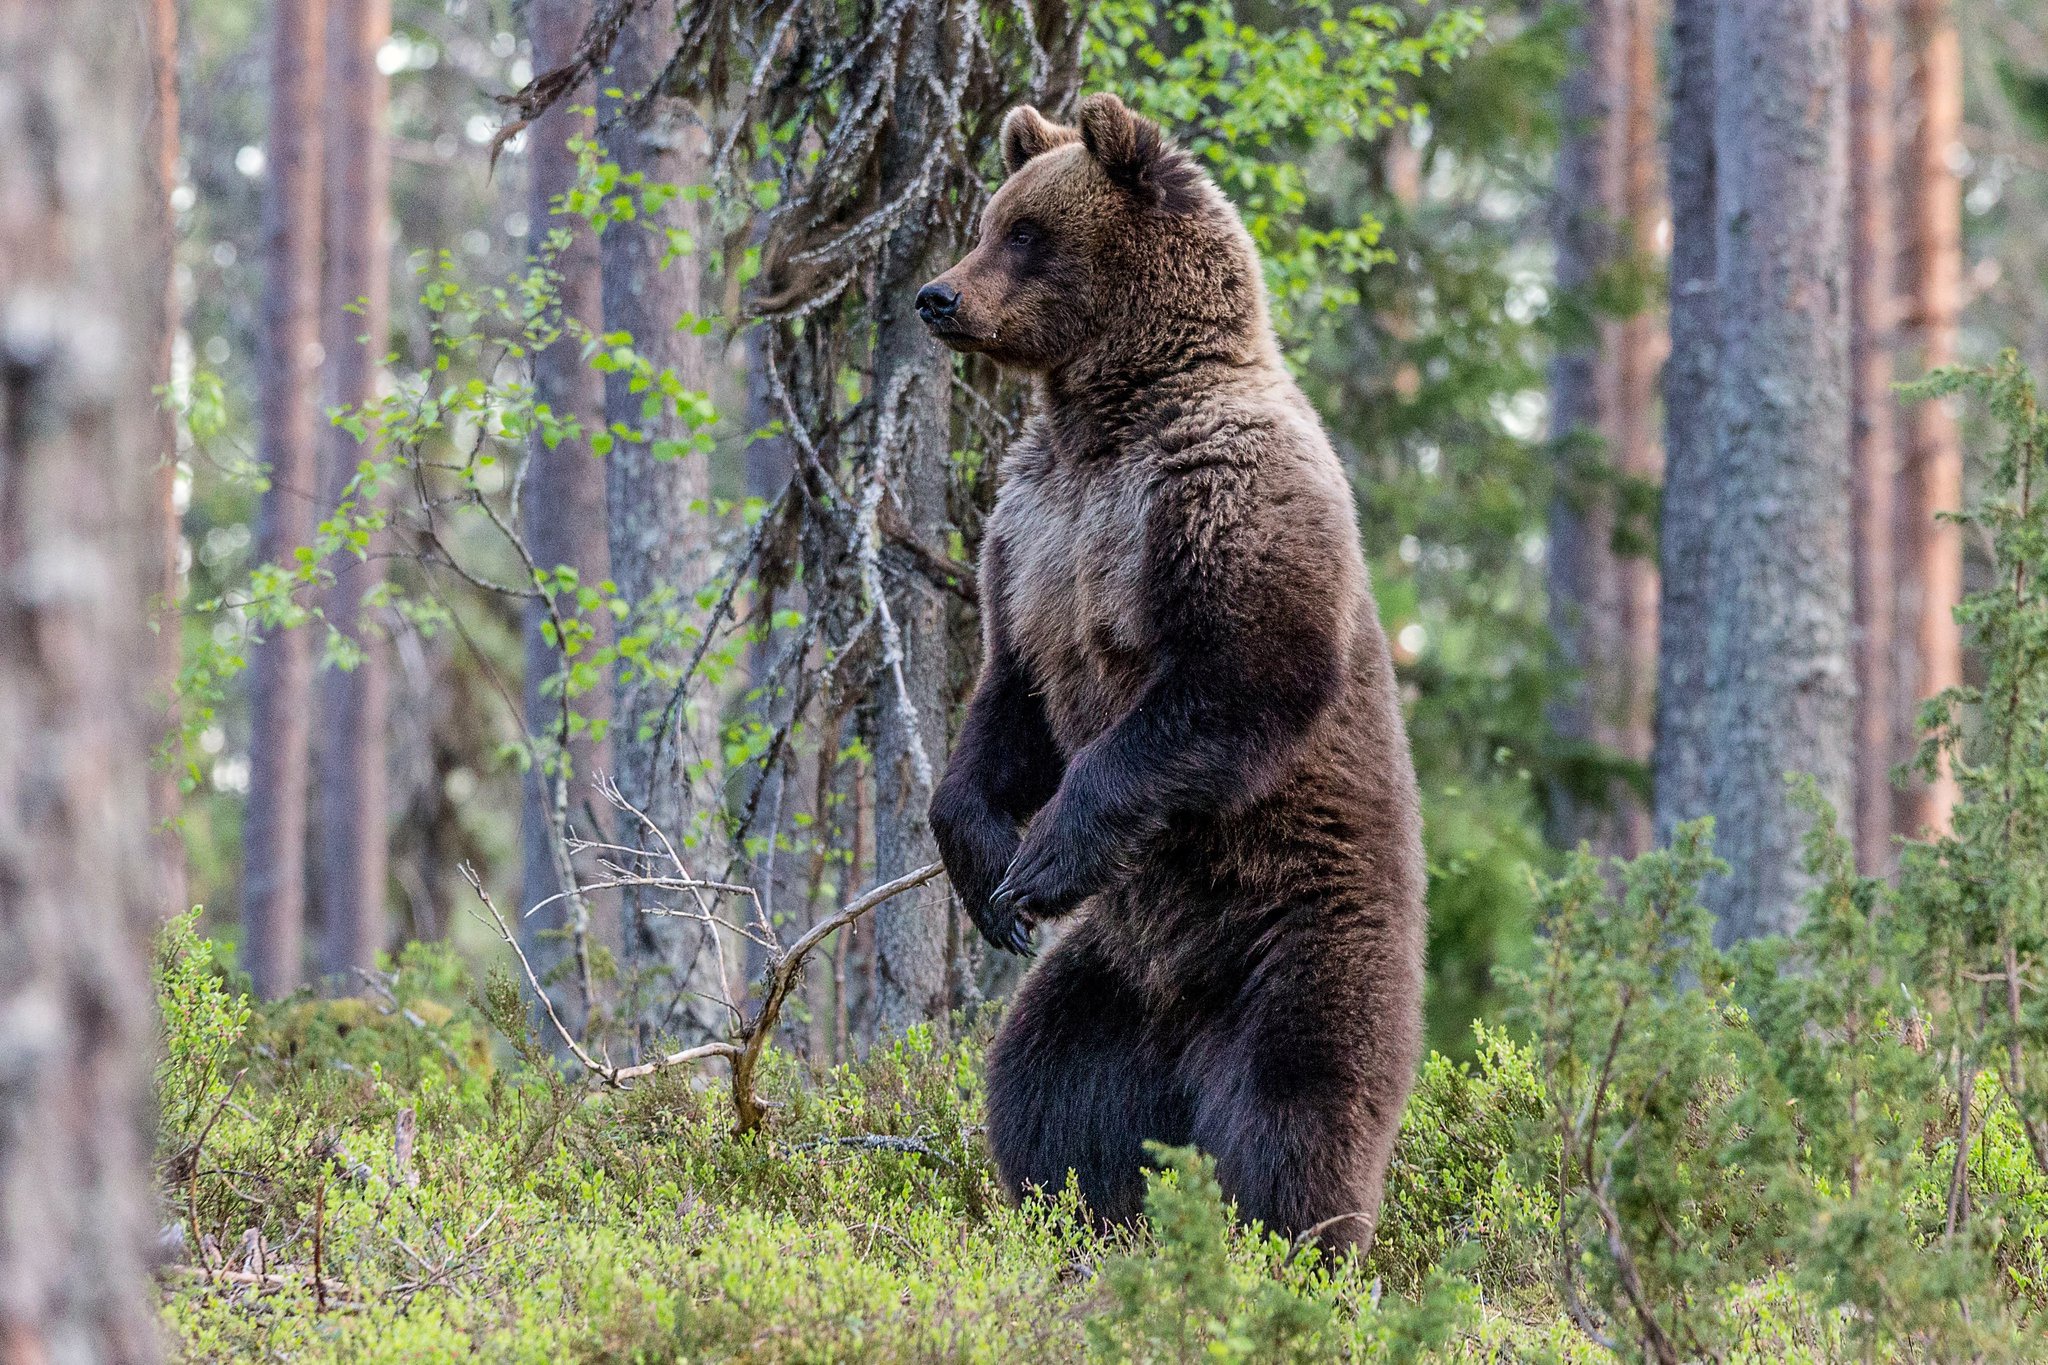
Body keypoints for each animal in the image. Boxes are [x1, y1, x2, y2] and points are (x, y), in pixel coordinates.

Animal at [917, 90, 1425, 1252]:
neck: (1101, 421)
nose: (937, 295)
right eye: (991, 218)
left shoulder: (1218, 490)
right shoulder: (1029, 534)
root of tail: (1185, 1030)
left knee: (1298, 1111)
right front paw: (987, 869)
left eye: (1027, 234)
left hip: (1294, 941)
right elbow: (1009, 699)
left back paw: (1294, 1247)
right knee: (1046, 1089)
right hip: (1105, 979)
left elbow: (1237, 677)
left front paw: (1043, 855)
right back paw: (1075, 1217)